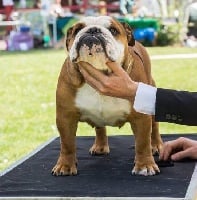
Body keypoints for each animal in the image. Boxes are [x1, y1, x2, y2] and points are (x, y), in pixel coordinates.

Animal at [51, 16, 163, 177]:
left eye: (113, 30)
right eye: (77, 29)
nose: (93, 30)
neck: (100, 71)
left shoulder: (141, 117)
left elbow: (142, 143)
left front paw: (145, 165)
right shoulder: (65, 116)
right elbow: (67, 144)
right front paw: (65, 166)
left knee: (154, 128)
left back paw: (156, 145)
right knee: (100, 128)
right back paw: (100, 146)